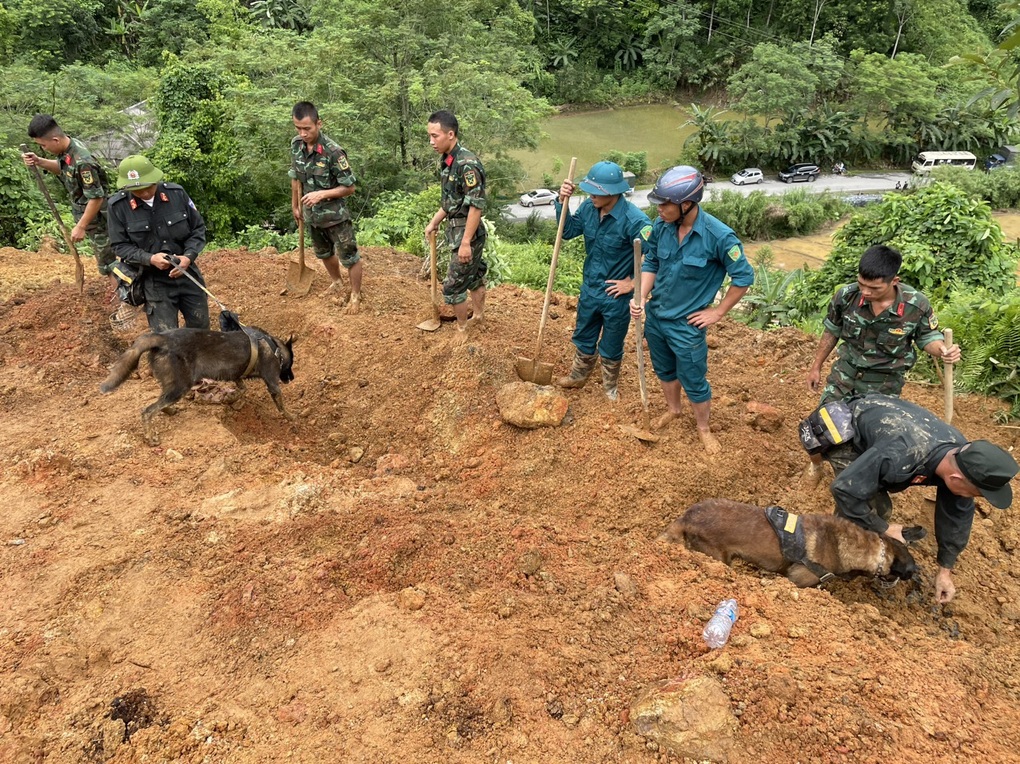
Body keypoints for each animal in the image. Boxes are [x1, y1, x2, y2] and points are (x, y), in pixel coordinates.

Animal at [101, 326, 295, 444]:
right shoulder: (272, 382)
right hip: (180, 386)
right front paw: (291, 417)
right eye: (291, 363)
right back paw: (150, 437)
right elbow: (281, 405)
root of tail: (162, 338)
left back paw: (170, 411)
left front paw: (233, 399)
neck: (275, 347)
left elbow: (242, 389)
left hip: (173, 385)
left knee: (160, 403)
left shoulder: (236, 375)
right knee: (148, 411)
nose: (292, 378)